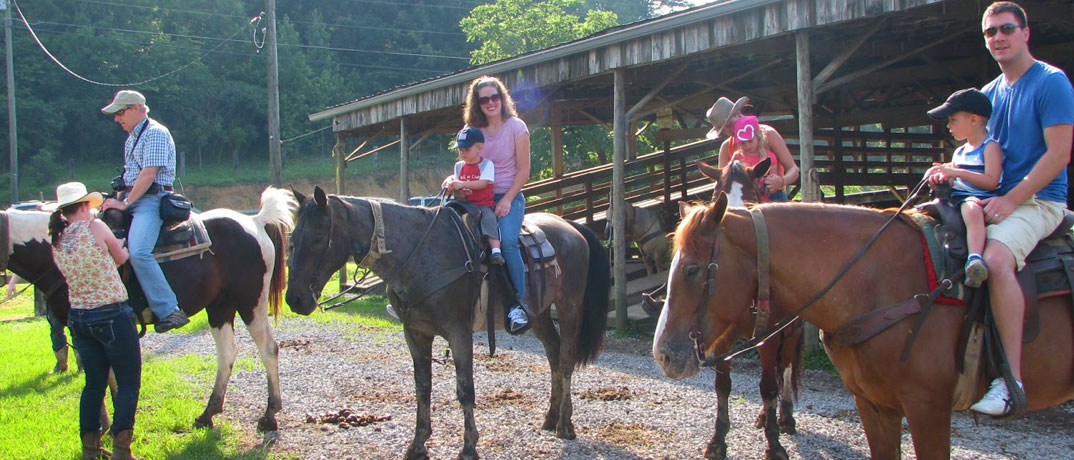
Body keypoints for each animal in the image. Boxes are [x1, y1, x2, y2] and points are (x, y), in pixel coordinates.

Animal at [281, 188, 610, 460]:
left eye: (317, 238)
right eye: (292, 239)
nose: (295, 299)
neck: (420, 253)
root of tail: (572, 227)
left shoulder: (459, 333)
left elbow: (465, 389)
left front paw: (469, 447)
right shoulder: (415, 333)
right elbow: (423, 386)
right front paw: (417, 444)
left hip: (569, 307)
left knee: (565, 360)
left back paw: (566, 425)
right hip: (539, 314)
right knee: (553, 354)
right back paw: (550, 418)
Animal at [652, 192, 1074, 457]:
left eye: (692, 269)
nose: (664, 355)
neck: (878, 283)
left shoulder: (928, 408)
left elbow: (768, 383)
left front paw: (772, 442)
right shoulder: (874, 405)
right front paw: (719, 442)